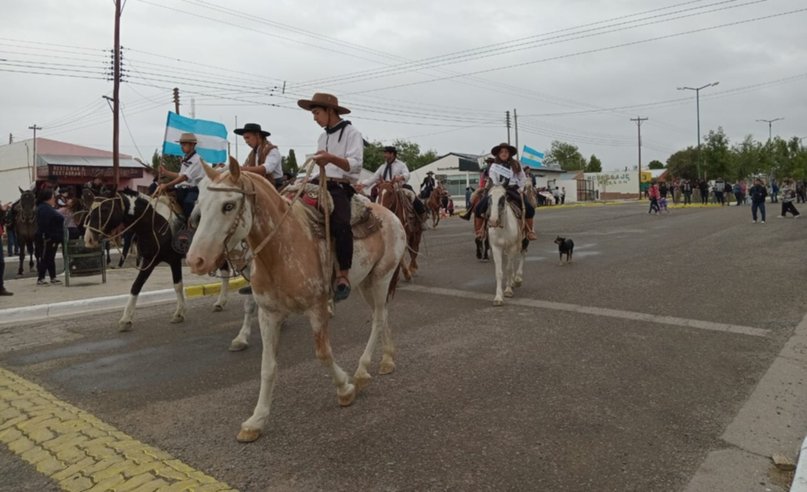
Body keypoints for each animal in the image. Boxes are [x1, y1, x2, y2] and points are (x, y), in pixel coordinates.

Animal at [84, 188, 234, 330]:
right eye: (90, 209)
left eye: (105, 209)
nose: (88, 239)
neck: (154, 224)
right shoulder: (149, 260)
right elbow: (136, 285)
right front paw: (126, 319)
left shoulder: (173, 260)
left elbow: (177, 285)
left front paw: (179, 313)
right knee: (225, 270)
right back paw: (220, 303)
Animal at [186, 160, 408, 442]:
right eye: (200, 203)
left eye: (228, 205)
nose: (196, 260)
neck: (283, 247)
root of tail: (390, 216)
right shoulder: (268, 314)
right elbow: (268, 366)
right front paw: (256, 421)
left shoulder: (317, 308)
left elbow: (323, 353)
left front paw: (345, 389)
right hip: (365, 284)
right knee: (383, 314)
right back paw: (387, 359)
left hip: (381, 278)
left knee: (378, 319)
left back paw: (361, 371)